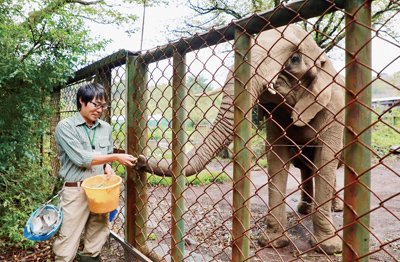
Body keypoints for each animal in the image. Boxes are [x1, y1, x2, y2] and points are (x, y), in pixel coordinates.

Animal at [136, 24, 346, 254]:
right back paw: (304, 209)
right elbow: (277, 159)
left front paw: (328, 248)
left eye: (294, 59)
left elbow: (325, 158)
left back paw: (335, 208)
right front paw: (272, 242)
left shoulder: (334, 108)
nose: (139, 159)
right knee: (306, 167)